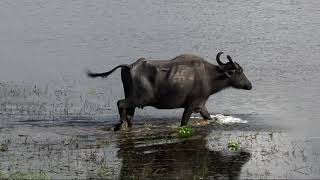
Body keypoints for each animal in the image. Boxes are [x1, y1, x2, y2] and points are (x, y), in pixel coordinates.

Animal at [87, 52, 252, 131]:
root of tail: (129, 66)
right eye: (240, 72)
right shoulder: (191, 105)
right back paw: (122, 125)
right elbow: (184, 122)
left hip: (132, 100)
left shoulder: (201, 105)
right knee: (120, 103)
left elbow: (209, 117)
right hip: (138, 98)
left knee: (129, 114)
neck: (209, 76)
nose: (249, 85)